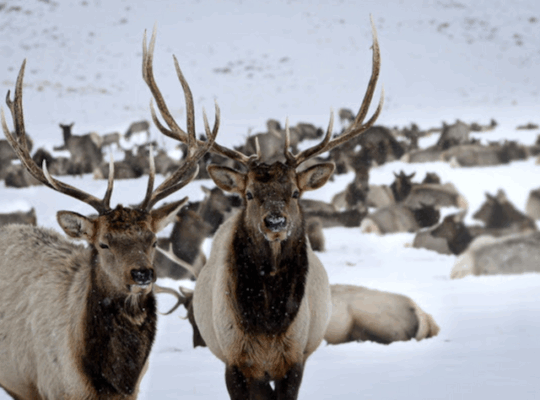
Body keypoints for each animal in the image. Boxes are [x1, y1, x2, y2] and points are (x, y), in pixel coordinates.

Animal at [142, 18, 383, 399]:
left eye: (296, 192)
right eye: (250, 194)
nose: (275, 221)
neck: (268, 323)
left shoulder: (295, 359)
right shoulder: (235, 362)